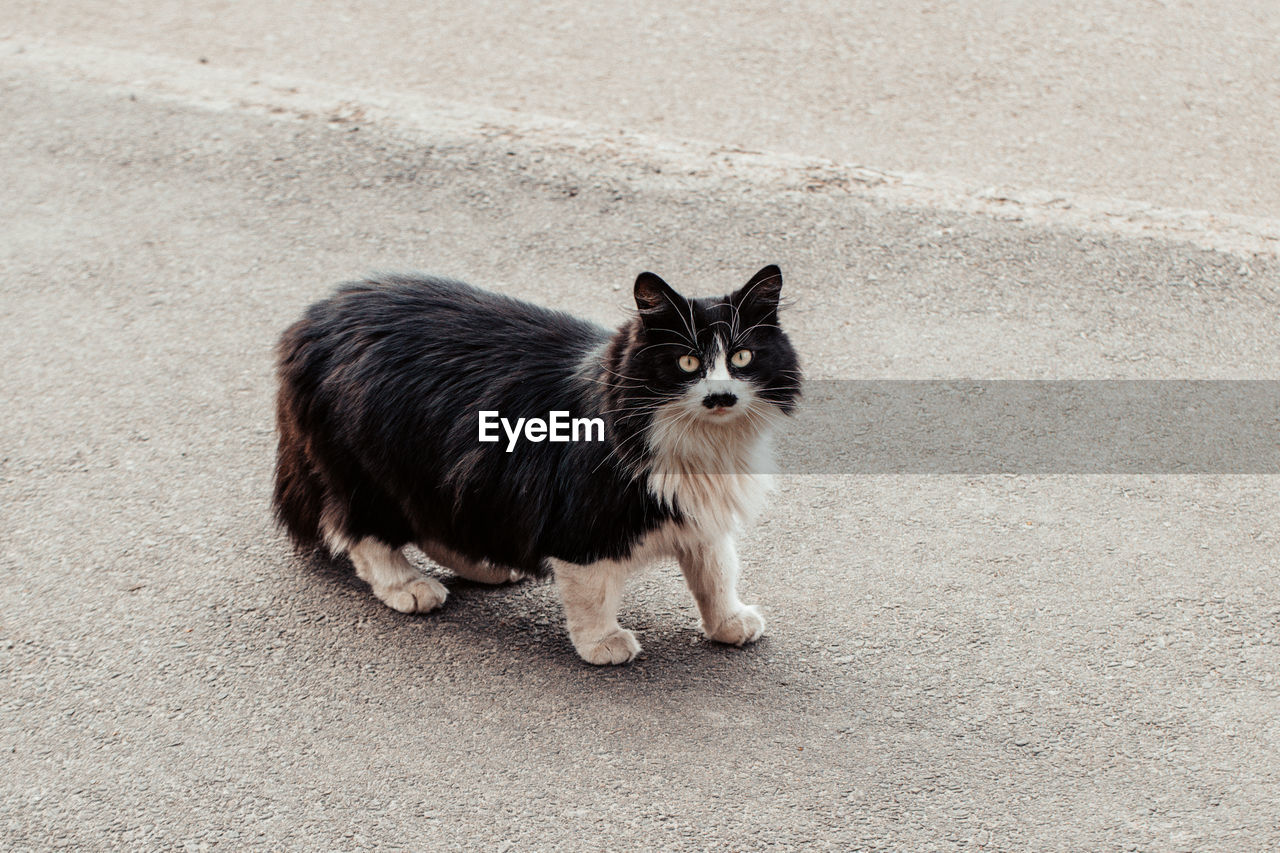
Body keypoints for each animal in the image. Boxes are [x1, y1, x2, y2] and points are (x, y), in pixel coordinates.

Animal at [273, 266, 798, 666]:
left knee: (435, 528)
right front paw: (602, 643)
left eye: (742, 356)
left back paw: (488, 568)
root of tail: (316, 316)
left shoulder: (699, 516)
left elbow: (717, 572)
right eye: (688, 362)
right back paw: (410, 586)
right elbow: (593, 591)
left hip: (451, 479)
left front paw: (729, 623)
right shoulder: (584, 522)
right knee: (360, 532)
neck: (703, 445)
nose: (721, 396)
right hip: (373, 470)